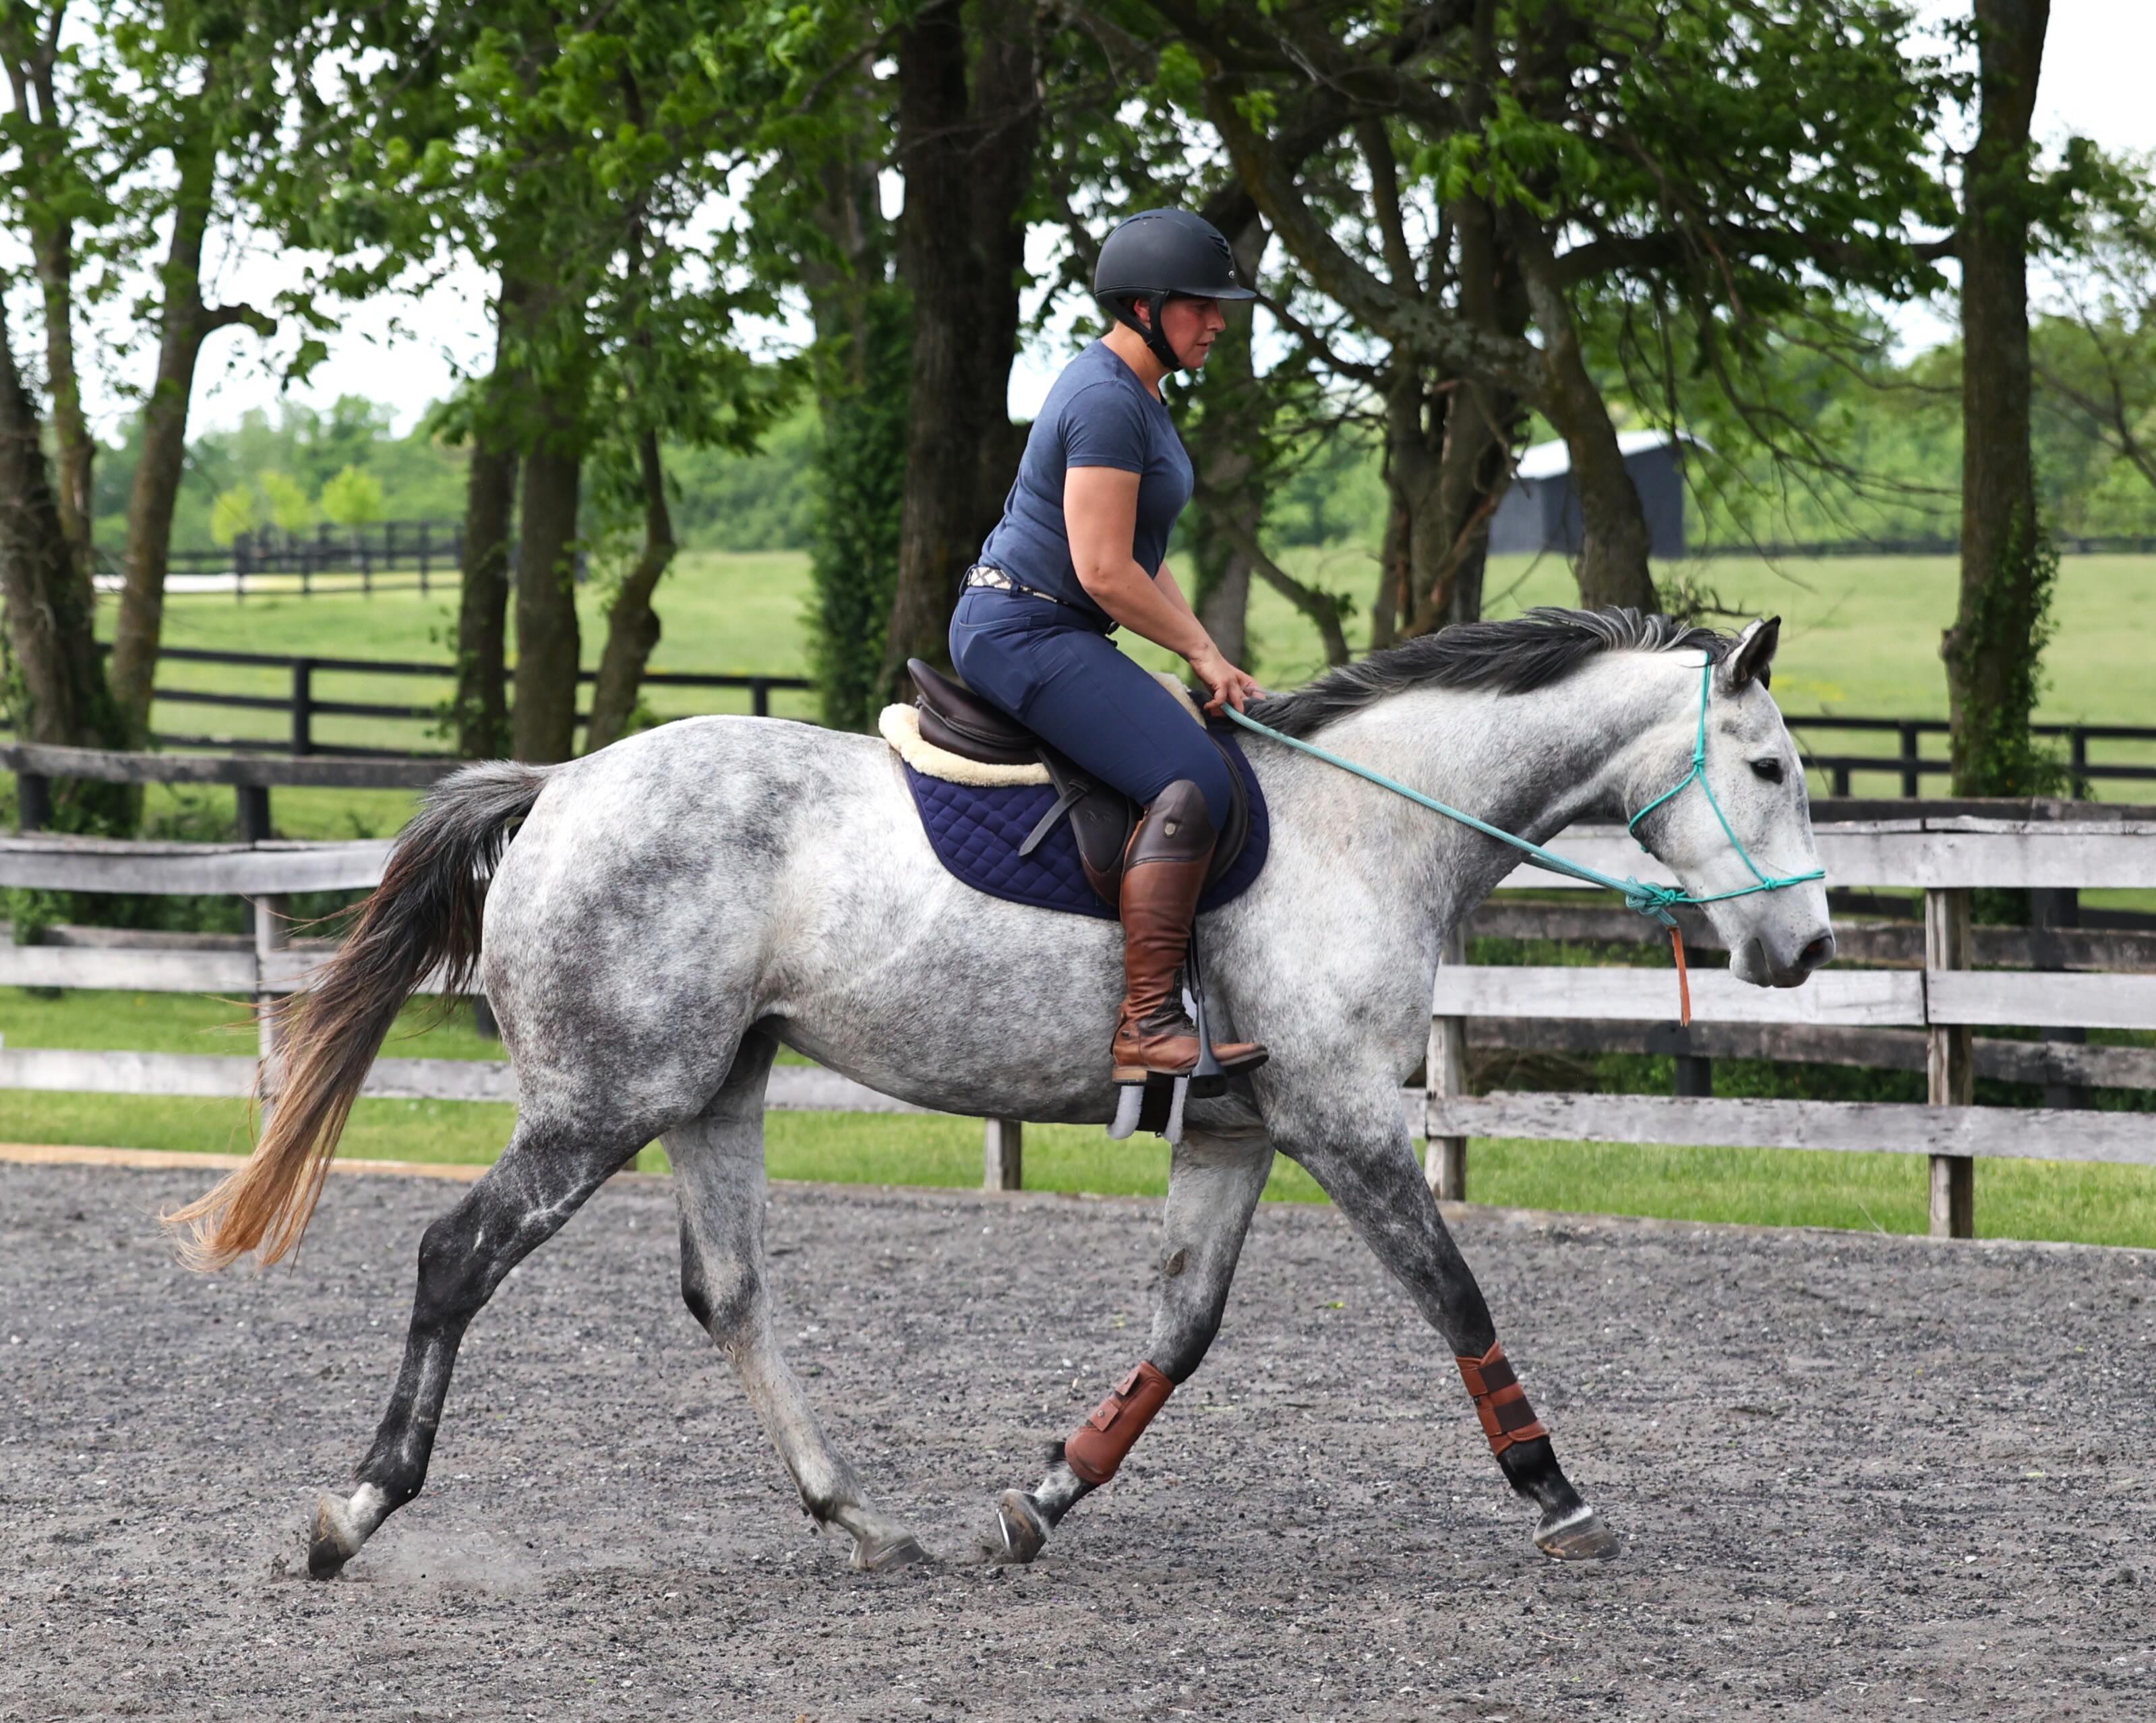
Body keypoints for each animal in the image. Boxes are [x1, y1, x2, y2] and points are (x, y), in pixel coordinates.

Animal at [168, 606, 1833, 1578]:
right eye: (1767, 768)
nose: (1807, 947)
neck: (1364, 827)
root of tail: (560, 786)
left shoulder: (1241, 1133)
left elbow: (1180, 1331)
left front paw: (1047, 1494)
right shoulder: (1346, 1121)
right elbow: (1456, 1295)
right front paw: (1556, 1494)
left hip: (711, 1088)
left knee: (732, 1294)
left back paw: (858, 1519)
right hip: (601, 1100)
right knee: (458, 1256)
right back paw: (354, 1511)